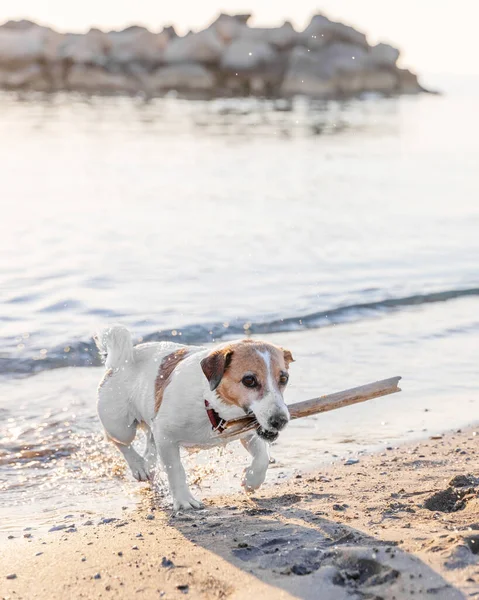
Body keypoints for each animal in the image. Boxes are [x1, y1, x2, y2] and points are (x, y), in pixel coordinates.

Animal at [95, 326, 294, 508]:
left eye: (284, 379)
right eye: (249, 380)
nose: (280, 421)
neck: (211, 404)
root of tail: (123, 360)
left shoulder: (248, 431)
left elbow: (262, 457)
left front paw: (252, 481)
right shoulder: (166, 437)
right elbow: (176, 469)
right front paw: (184, 500)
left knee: (150, 438)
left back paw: (148, 465)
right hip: (121, 427)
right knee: (117, 440)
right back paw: (138, 466)